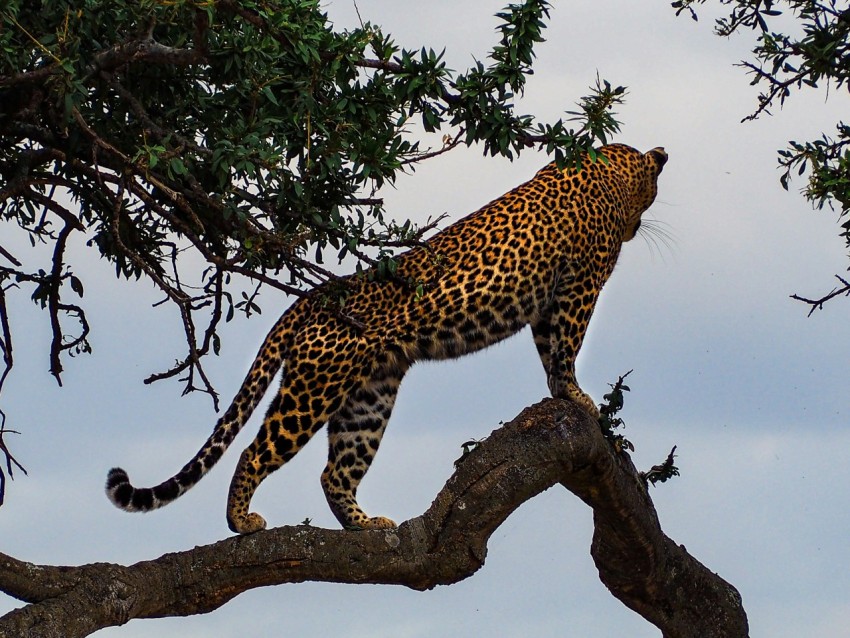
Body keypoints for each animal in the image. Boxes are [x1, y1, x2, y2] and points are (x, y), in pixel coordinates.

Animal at [106, 144, 664, 536]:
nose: (637, 230)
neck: (610, 170)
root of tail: (312, 298)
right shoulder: (579, 287)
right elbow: (565, 348)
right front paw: (577, 397)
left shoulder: (552, 301)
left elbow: (551, 351)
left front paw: (562, 395)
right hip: (313, 390)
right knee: (254, 452)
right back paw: (242, 521)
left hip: (368, 397)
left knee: (335, 472)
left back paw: (364, 525)